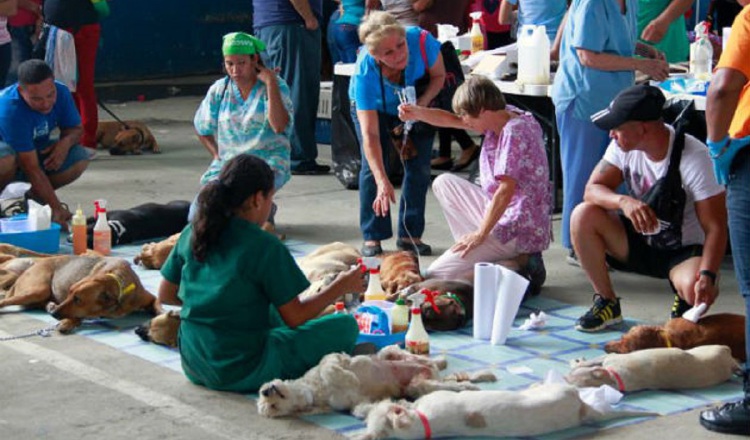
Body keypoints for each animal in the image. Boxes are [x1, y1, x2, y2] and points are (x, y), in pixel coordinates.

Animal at [0, 256, 163, 332]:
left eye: (78, 299)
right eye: (69, 293)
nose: (54, 314)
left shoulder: (151, 298)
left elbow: (158, 305)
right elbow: (77, 316)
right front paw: (68, 322)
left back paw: (50, 306)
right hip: (37, 290)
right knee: (5, 301)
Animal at [258, 346, 500, 418]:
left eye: (263, 394)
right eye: (272, 407)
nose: (266, 391)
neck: (316, 392)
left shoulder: (333, 358)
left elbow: (330, 367)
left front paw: (349, 377)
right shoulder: (357, 404)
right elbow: (362, 410)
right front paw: (400, 405)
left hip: (389, 353)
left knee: (413, 356)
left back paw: (442, 363)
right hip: (418, 385)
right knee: (450, 384)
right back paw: (468, 384)